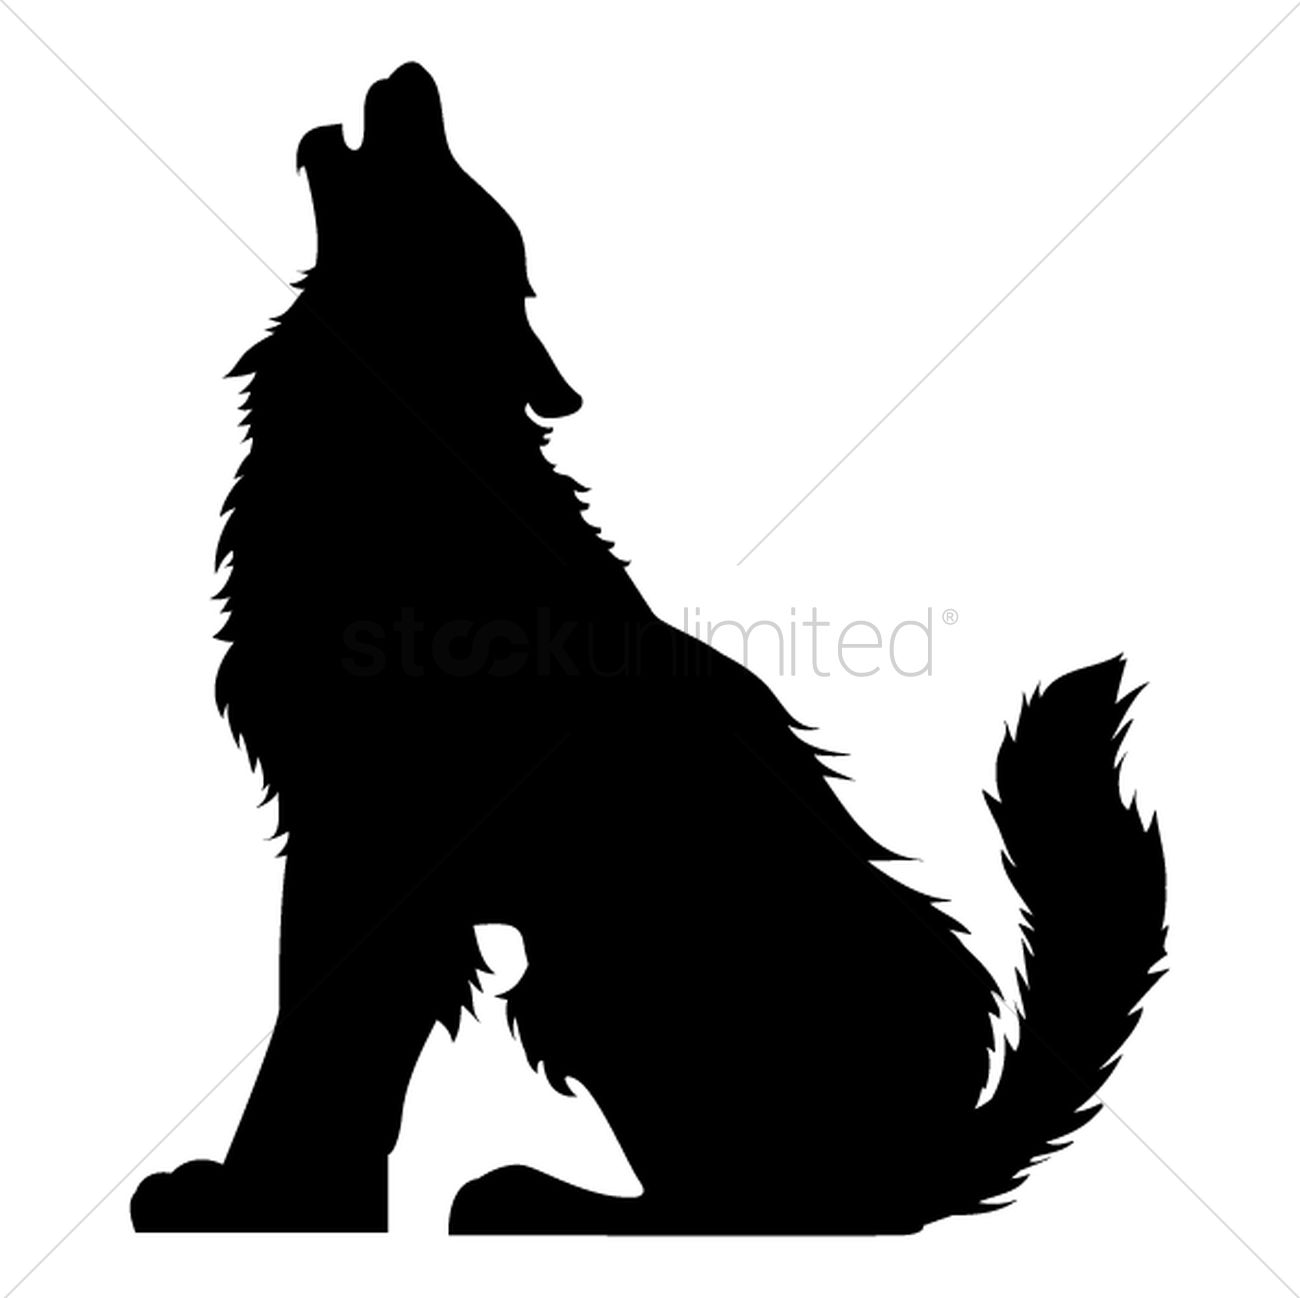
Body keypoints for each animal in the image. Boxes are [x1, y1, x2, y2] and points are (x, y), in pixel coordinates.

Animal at [130, 62, 1166, 1234]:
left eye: (466, 204)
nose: (414, 75)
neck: (405, 466)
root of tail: (929, 1152)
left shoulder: (380, 840)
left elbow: (322, 1036)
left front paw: (264, 1198)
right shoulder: (339, 834)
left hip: (609, 975)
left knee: (744, 1200)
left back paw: (532, 1199)